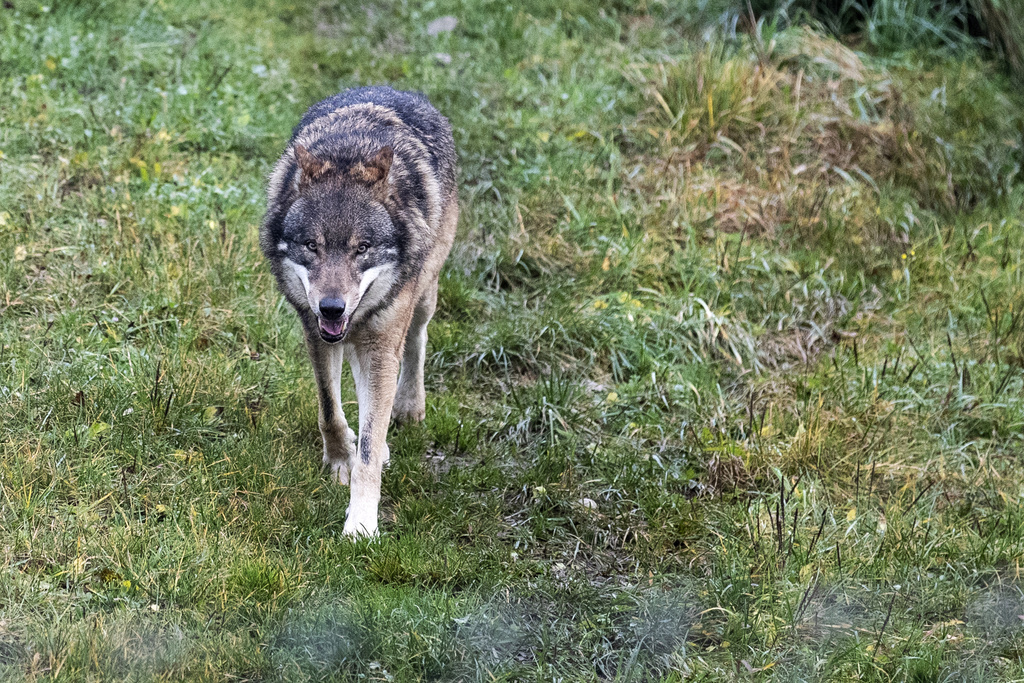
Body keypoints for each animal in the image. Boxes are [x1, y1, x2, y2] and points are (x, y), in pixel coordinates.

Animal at [262, 88, 458, 540]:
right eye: (311, 246)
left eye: (362, 247)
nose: (331, 307)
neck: (348, 152)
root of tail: (396, 89)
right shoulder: (315, 332)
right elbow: (330, 411)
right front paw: (339, 461)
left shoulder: (382, 343)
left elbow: (369, 446)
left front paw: (362, 523)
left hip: (421, 298)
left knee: (416, 342)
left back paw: (408, 407)